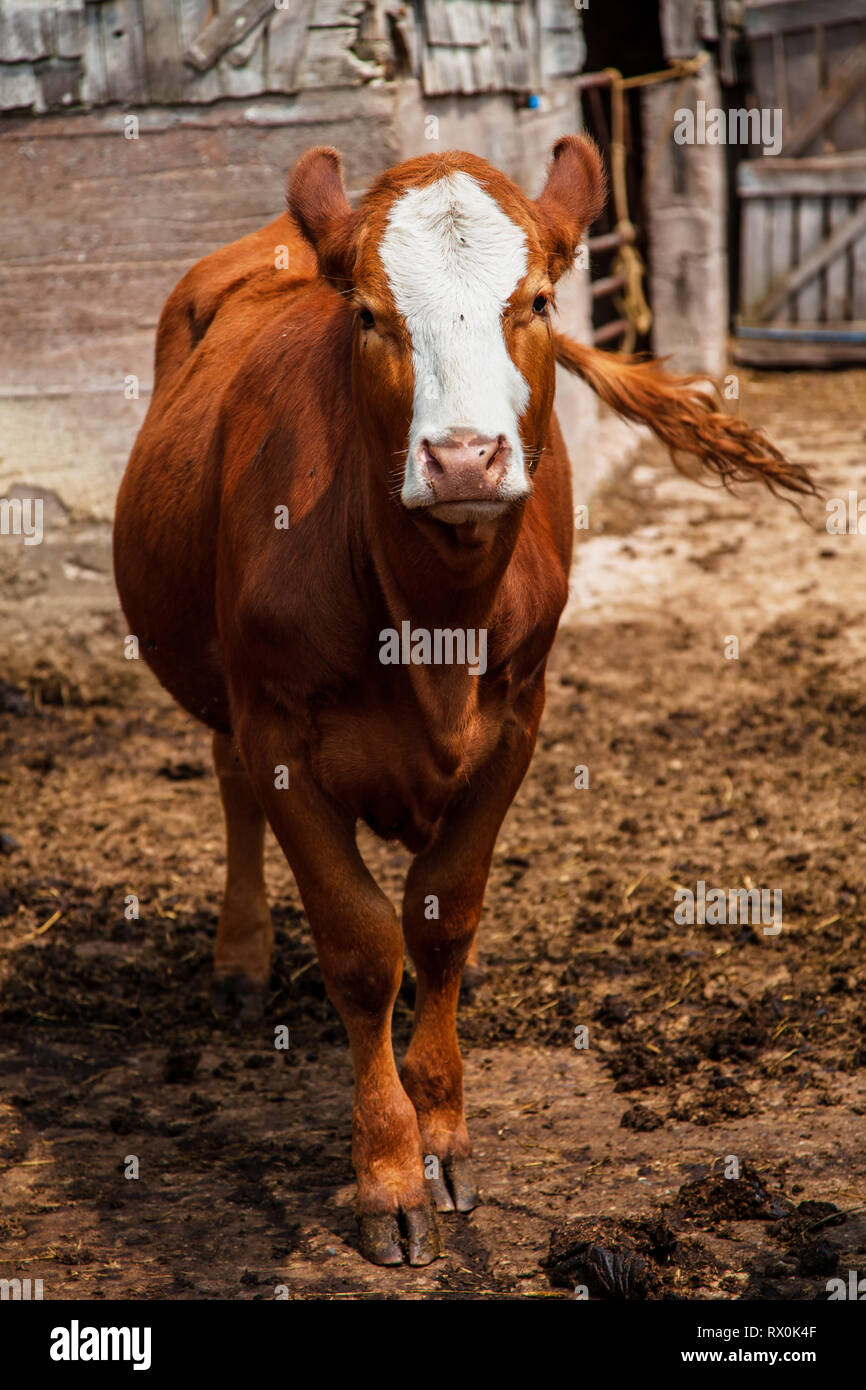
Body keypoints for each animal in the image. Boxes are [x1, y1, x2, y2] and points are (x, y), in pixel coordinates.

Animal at [113, 135, 811, 1267]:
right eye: (366, 313)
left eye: (535, 301)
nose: (463, 458)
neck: (432, 616)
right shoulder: (279, 732)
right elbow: (362, 947)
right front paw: (390, 1173)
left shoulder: (515, 723)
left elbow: (441, 918)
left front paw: (443, 1137)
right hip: (227, 698)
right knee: (229, 788)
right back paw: (240, 959)